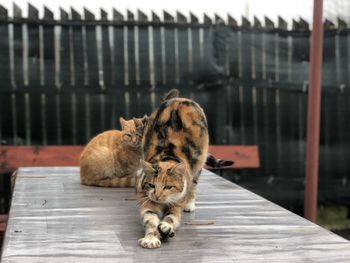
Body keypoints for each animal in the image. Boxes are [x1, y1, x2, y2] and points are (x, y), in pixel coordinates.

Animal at [136, 97, 208, 250]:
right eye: (151, 185)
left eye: (168, 187)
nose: (157, 196)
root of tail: (181, 99)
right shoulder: (146, 198)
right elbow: (150, 219)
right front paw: (150, 239)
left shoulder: (177, 202)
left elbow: (172, 216)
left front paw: (166, 227)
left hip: (200, 161)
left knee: (194, 184)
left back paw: (190, 205)